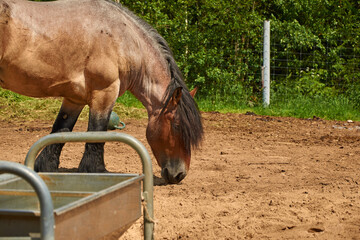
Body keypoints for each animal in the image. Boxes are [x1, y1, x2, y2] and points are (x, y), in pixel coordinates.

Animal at [0, 0, 202, 184]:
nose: (179, 174)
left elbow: (61, 130)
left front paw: (45, 166)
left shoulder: (74, 99)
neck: (124, 39)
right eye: (176, 125)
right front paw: (94, 170)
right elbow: (97, 132)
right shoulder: (105, 92)